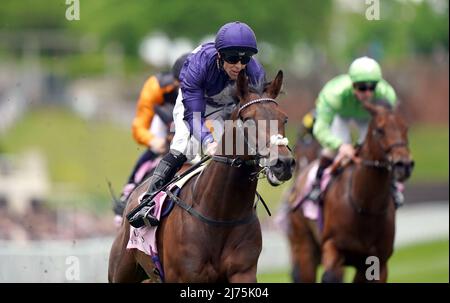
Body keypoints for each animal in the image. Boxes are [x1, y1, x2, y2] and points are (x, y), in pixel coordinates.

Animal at [109, 70, 296, 284]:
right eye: (249, 119)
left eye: (284, 119)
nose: (283, 163)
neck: (221, 215)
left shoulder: (244, 272)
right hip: (121, 271)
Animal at [286, 101, 414, 284]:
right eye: (380, 130)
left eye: (405, 128)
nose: (404, 164)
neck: (365, 206)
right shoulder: (333, 246)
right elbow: (330, 276)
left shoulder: (378, 262)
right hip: (303, 246)